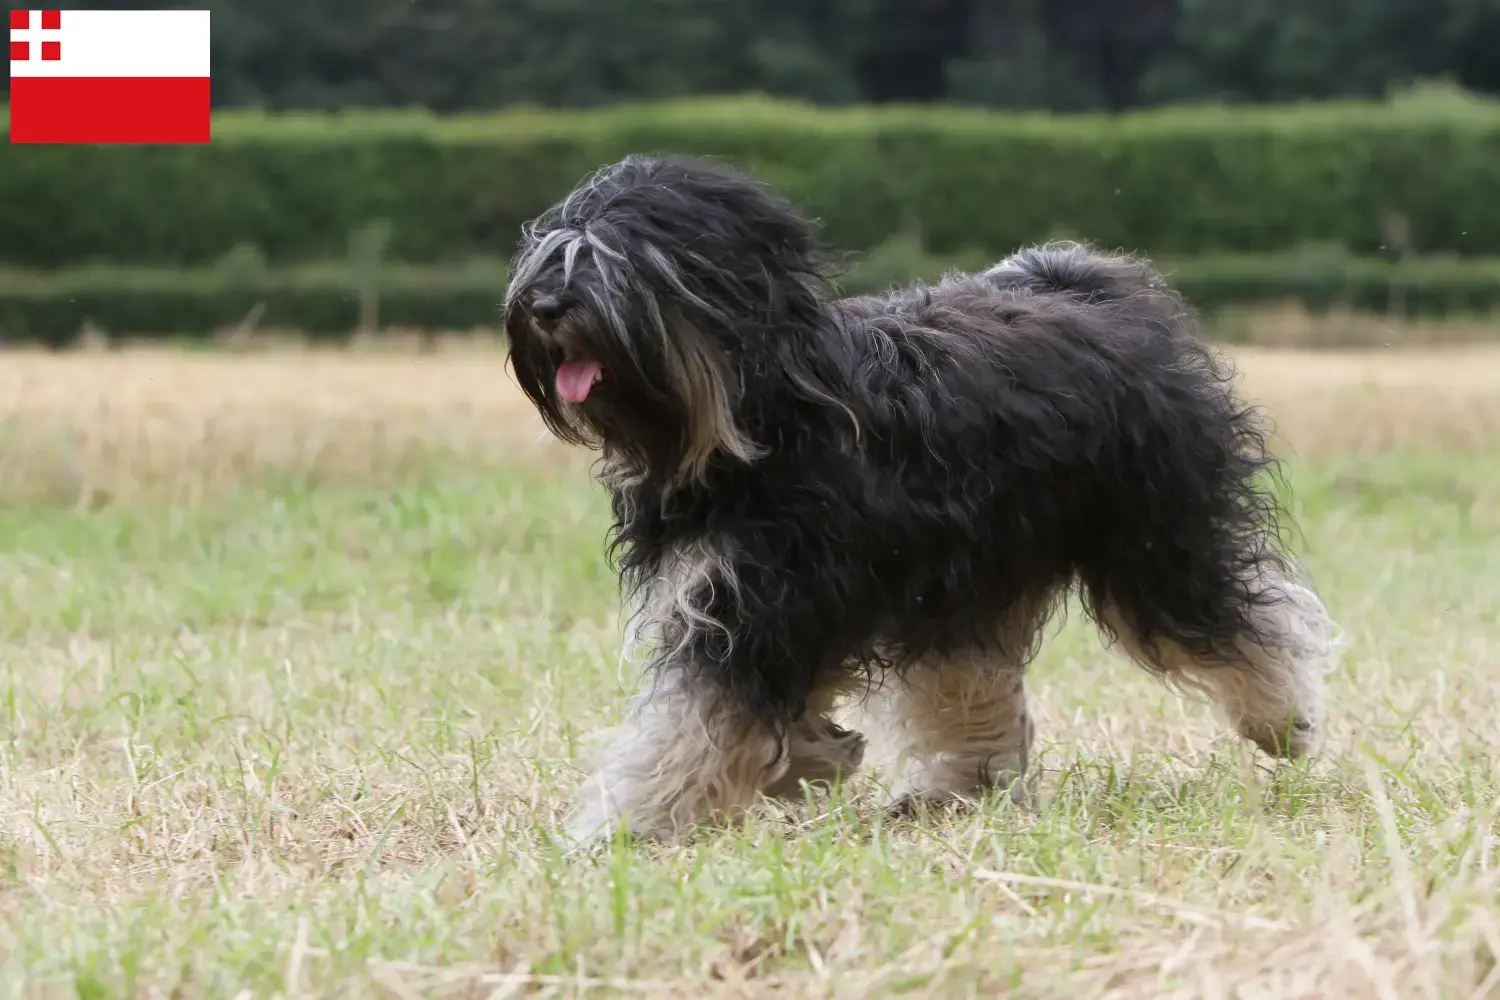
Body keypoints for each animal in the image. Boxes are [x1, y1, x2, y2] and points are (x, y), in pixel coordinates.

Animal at [501, 154, 1338, 845]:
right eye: (550, 249)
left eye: (618, 261)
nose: (542, 306)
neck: (759, 417)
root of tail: (1092, 288)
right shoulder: (762, 598)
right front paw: (818, 757)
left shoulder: (764, 602)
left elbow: (691, 727)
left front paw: (620, 830)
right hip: (967, 580)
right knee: (970, 683)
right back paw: (953, 788)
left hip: (1150, 536)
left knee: (1235, 618)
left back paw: (1284, 722)